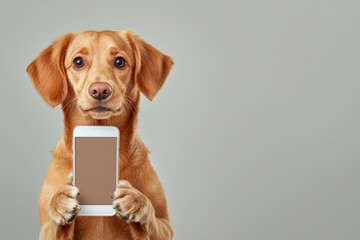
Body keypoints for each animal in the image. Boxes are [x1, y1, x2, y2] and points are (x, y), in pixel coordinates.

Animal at [26, 30, 174, 240]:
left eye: (120, 61)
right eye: (78, 62)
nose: (100, 90)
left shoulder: (166, 227)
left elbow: (151, 217)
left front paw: (137, 201)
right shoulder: (45, 231)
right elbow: (54, 223)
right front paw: (60, 200)